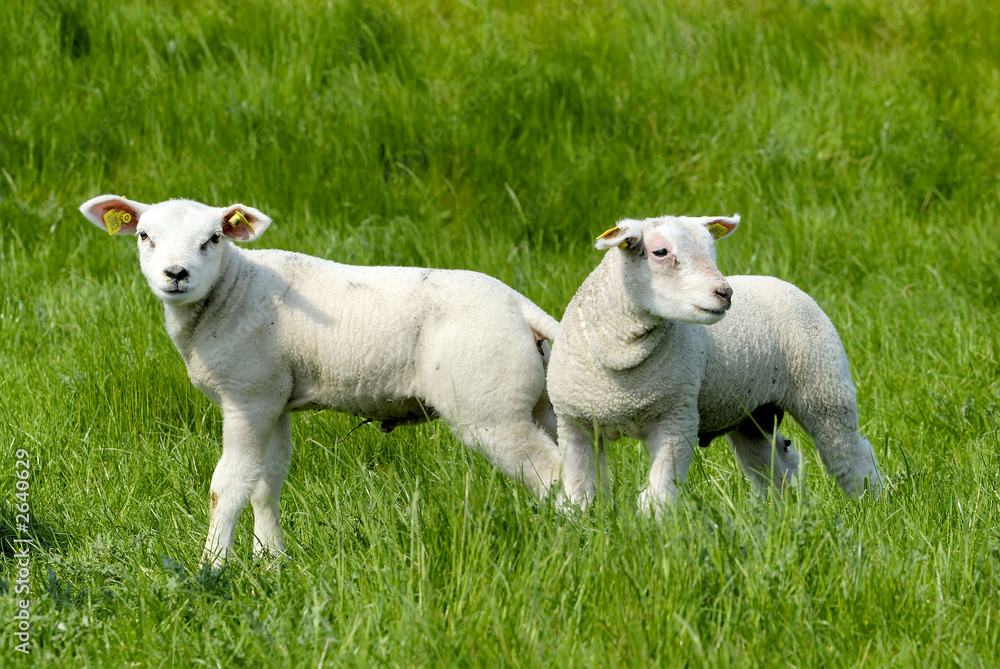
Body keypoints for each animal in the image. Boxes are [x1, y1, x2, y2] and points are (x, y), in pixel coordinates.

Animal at [79, 195, 562, 565]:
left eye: (214, 238)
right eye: (144, 236)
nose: (176, 274)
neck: (233, 290)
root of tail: (521, 308)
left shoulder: (248, 398)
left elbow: (228, 487)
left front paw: (212, 567)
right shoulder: (272, 397)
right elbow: (266, 482)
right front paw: (270, 560)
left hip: (490, 407)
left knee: (551, 472)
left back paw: (567, 537)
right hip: (538, 402)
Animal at [546, 214, 883, 513]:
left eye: (712, 250)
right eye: (660, 252)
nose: (725, 293)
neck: (619, 363)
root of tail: (776, 280)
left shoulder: (677, 417)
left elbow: (658, 495)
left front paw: (654, 529)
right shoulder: (574, 425)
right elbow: (579, 493)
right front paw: (579, 525)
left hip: (824, 387)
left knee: (849, 453)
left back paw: (870, 502)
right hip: (753, 414)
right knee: (776, 465)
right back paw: (784, 512)